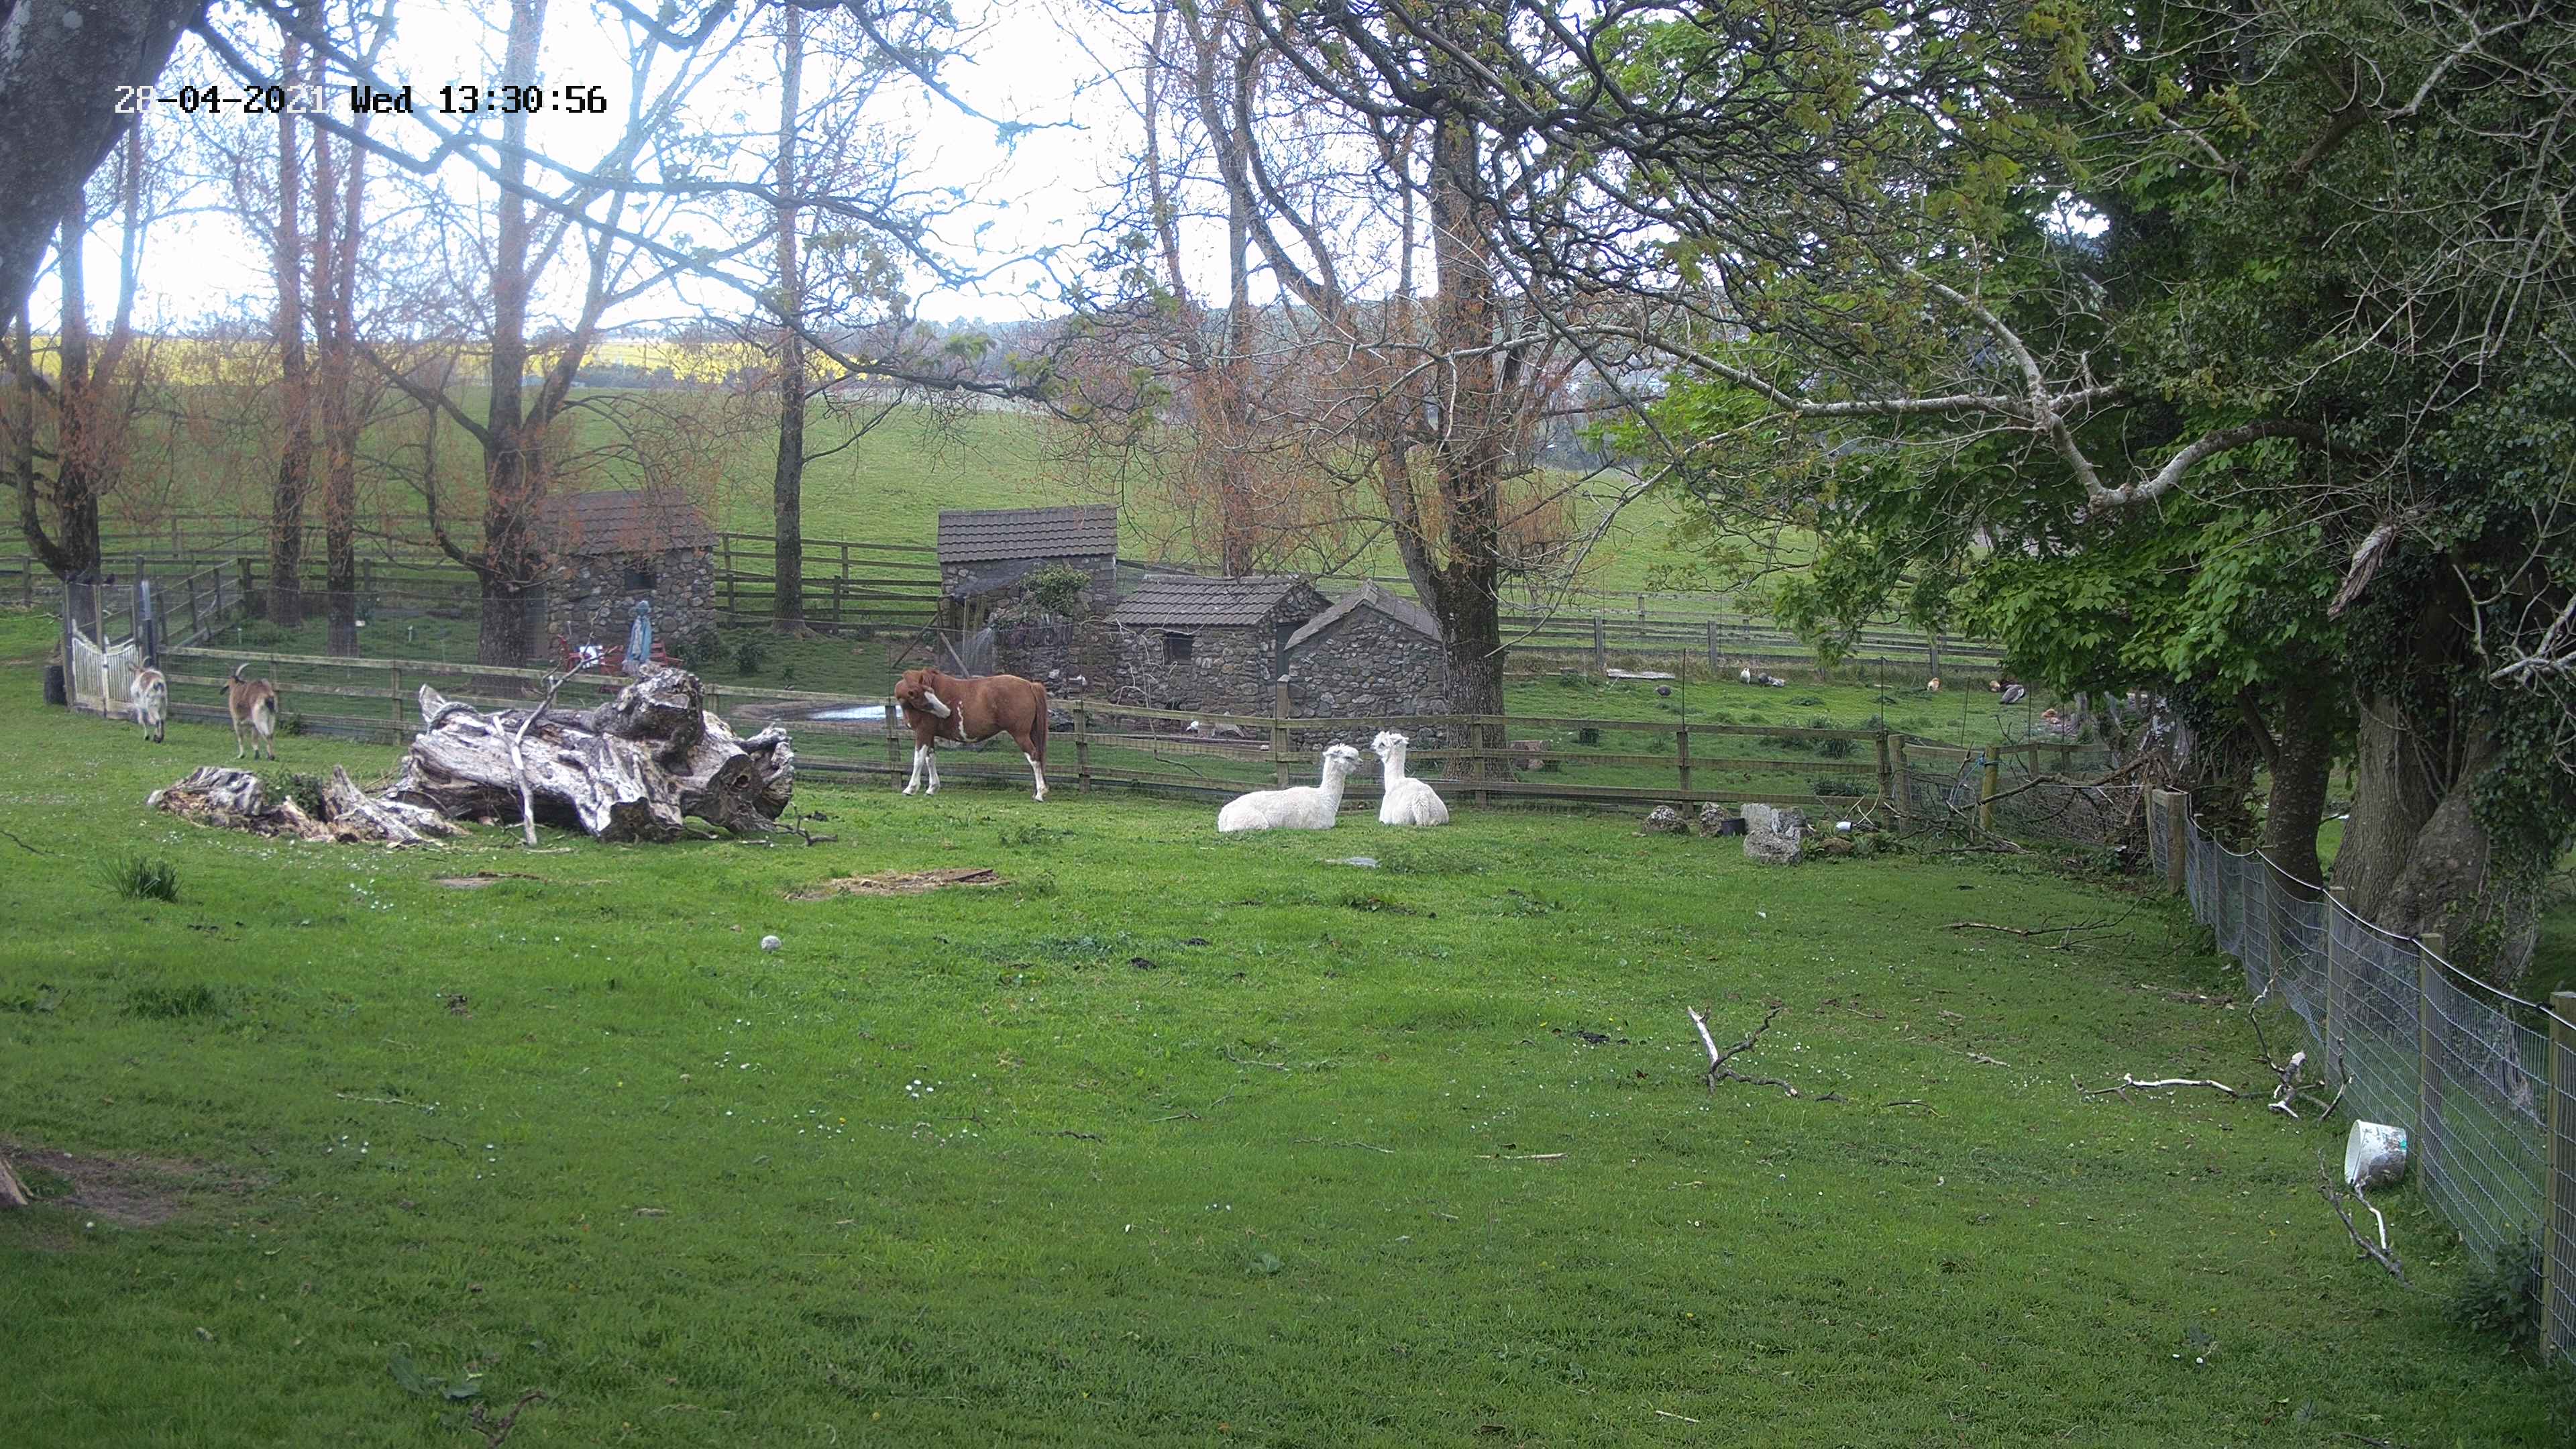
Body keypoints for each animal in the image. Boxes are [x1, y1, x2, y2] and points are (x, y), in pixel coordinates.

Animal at [891, 668, 1051, 801]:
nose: (947, 712)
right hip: (1031, 733)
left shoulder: (923, 732)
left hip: (1020, 735)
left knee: (1034, 757)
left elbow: (918, 760)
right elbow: (930, 759)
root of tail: (1029, 685)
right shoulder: (929, 734)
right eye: (924, 700)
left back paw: (1040, 793)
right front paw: (932, 788)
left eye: (932, 692)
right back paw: (1037, 792)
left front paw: (910, 789)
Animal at [1216, 744, 1362, 833]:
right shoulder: (1319, 825)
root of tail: (1223, 816)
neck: (1325, 798)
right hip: (1253, 820)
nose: (1361, 762)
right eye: (1348, 757)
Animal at [1368, 731, 1450, 827]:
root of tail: (1422, 799)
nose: (1371, 748)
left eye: (1382, 744)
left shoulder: (1384, 818)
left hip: (1402, 818)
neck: (1394, 781)